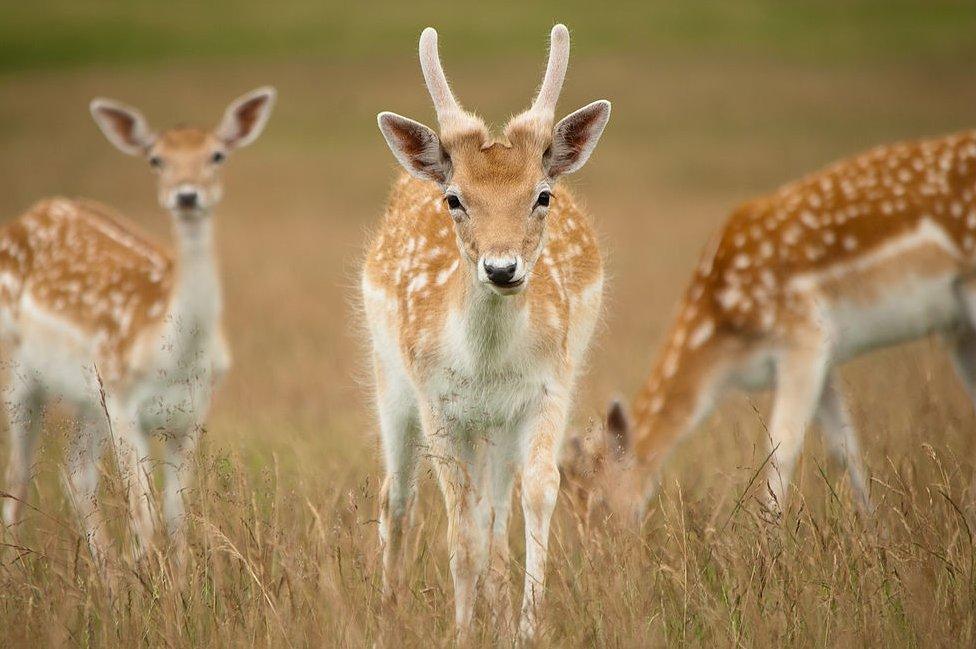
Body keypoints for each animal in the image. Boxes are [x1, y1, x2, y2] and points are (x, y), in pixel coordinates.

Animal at [0, 87, 274, 560]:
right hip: (17, 372)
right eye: (156, 159)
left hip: (88, 400)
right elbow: (145, 517)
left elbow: (177, 518)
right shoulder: (124, 403)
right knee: (17, 478)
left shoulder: (191, 413)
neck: (172, 355)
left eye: (217, 155)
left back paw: (106, 572)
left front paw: (177, 578)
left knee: (74, 472)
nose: (187, 196)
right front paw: (150, 575)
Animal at [366, 24, 608, 636]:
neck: (485, 363)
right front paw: (461, 631)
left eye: (542, 194)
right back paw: (387, 610)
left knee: (495, 511)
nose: (501, 268)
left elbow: (537, 496)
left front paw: (525, 627)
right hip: (390, 380)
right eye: (455, 198)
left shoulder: (549, 386)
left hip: (496, 426)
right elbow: (460, 532)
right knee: (397, 495)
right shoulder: (437, 401)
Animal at [560, 128, 976, 528]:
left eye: (599, 501)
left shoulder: (803, 337)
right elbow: (846, 450)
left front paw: (768, 542)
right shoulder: (825, 358)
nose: (607, 549)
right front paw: (876, 536)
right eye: (573, 507)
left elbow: (781, 452)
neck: (725, 347)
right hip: (959, 329)